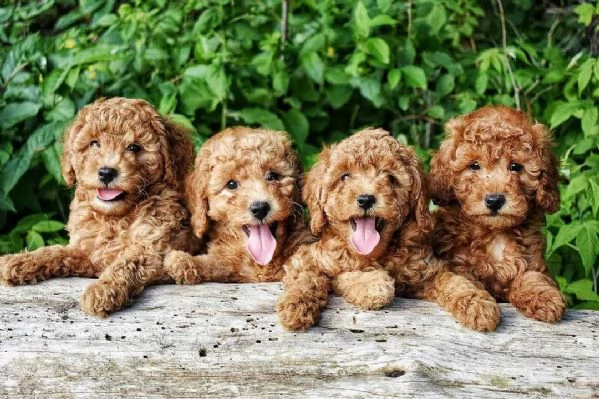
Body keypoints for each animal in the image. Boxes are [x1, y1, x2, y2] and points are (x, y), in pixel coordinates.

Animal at [0, 97, 202, 318]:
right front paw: (19, 261)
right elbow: (56, 252)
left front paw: (102, 290)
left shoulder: (153, 250)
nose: (106, 173)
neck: (114, 217)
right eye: (94, 143)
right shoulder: (89, 252)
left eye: (134, 147)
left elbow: (126, 263)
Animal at [164, 127, 310, 284]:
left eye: (272, 176)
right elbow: (217, 263)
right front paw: (183, 261)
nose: (260, 208)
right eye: (231, 184)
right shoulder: (229, 260)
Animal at [278, 128, 502, 332]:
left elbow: (453, 280)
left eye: (390, 178)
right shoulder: (306, 259)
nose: (365, 199)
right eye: (345, 176)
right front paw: (295, 307)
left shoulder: (426, 272)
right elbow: (312, 278)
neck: (376, 254)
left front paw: (478, 304)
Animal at [428, 104, 564, 324]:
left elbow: (532, 277)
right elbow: (463, 283)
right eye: (474, 165)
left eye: (515, 166)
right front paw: (476, 306)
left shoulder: (531, 260)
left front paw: (545, 297)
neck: (493, 232)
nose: (494, 200)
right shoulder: (456, 264)